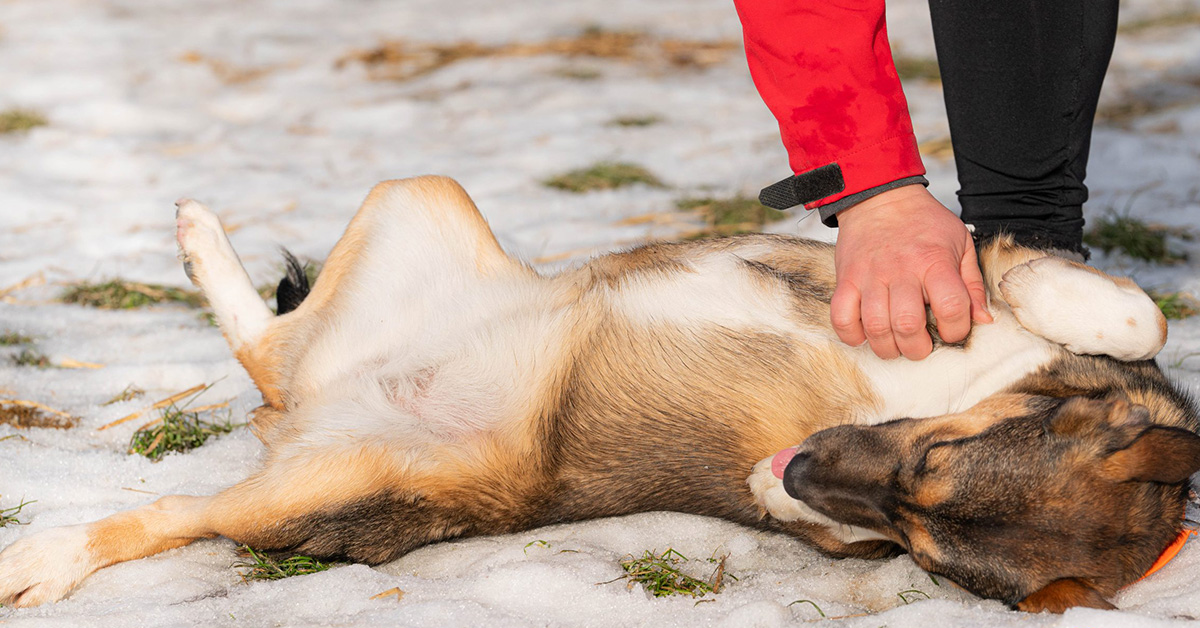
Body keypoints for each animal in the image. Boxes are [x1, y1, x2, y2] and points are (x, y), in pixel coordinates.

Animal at [2, 176, 1200, 614]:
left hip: (304, 483)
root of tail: (316, 408)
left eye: (926, 544)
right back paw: (201, 235)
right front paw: (1092, 314)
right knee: (268, 351)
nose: (797, 462)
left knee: (184, 491)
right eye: (934, 458)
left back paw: (44, 556)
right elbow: (1129, 314)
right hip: (421, 197)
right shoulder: (956, 268)